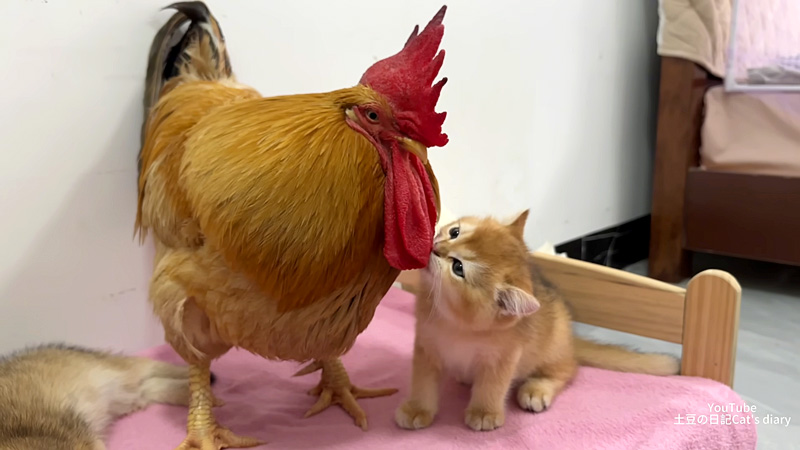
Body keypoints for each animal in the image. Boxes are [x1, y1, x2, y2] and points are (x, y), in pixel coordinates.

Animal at [396, 211, 680, 432]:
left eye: (458, 268)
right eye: (455, 232)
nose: (434, 247)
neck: (455, 324)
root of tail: (571, 340)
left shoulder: (503, 358)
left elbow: (492, 386)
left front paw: (484, 413)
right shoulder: (426, 346)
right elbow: (422, 382)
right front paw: (417, 409)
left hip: (552, 348)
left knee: (568, 369)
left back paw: (537, 389)